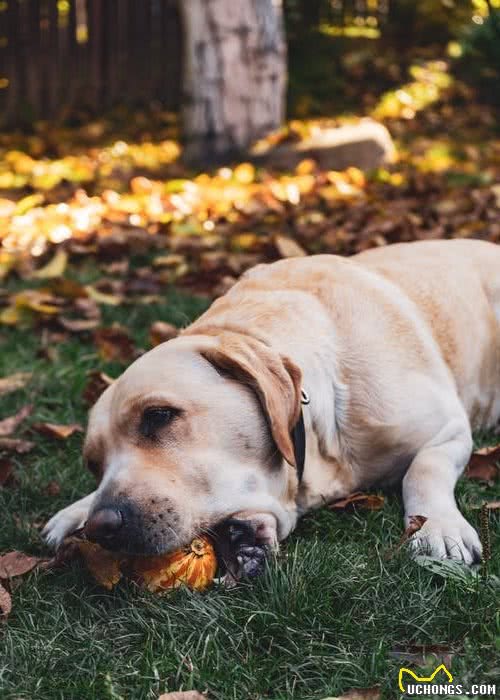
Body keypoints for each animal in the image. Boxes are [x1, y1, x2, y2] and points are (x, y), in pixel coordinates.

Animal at [44, 239, 500, 564]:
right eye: (93, 464)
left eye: (158, 416)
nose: (101, 527)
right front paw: (76, 510)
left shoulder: (448, 429)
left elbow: (424, 469)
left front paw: (437, 526)